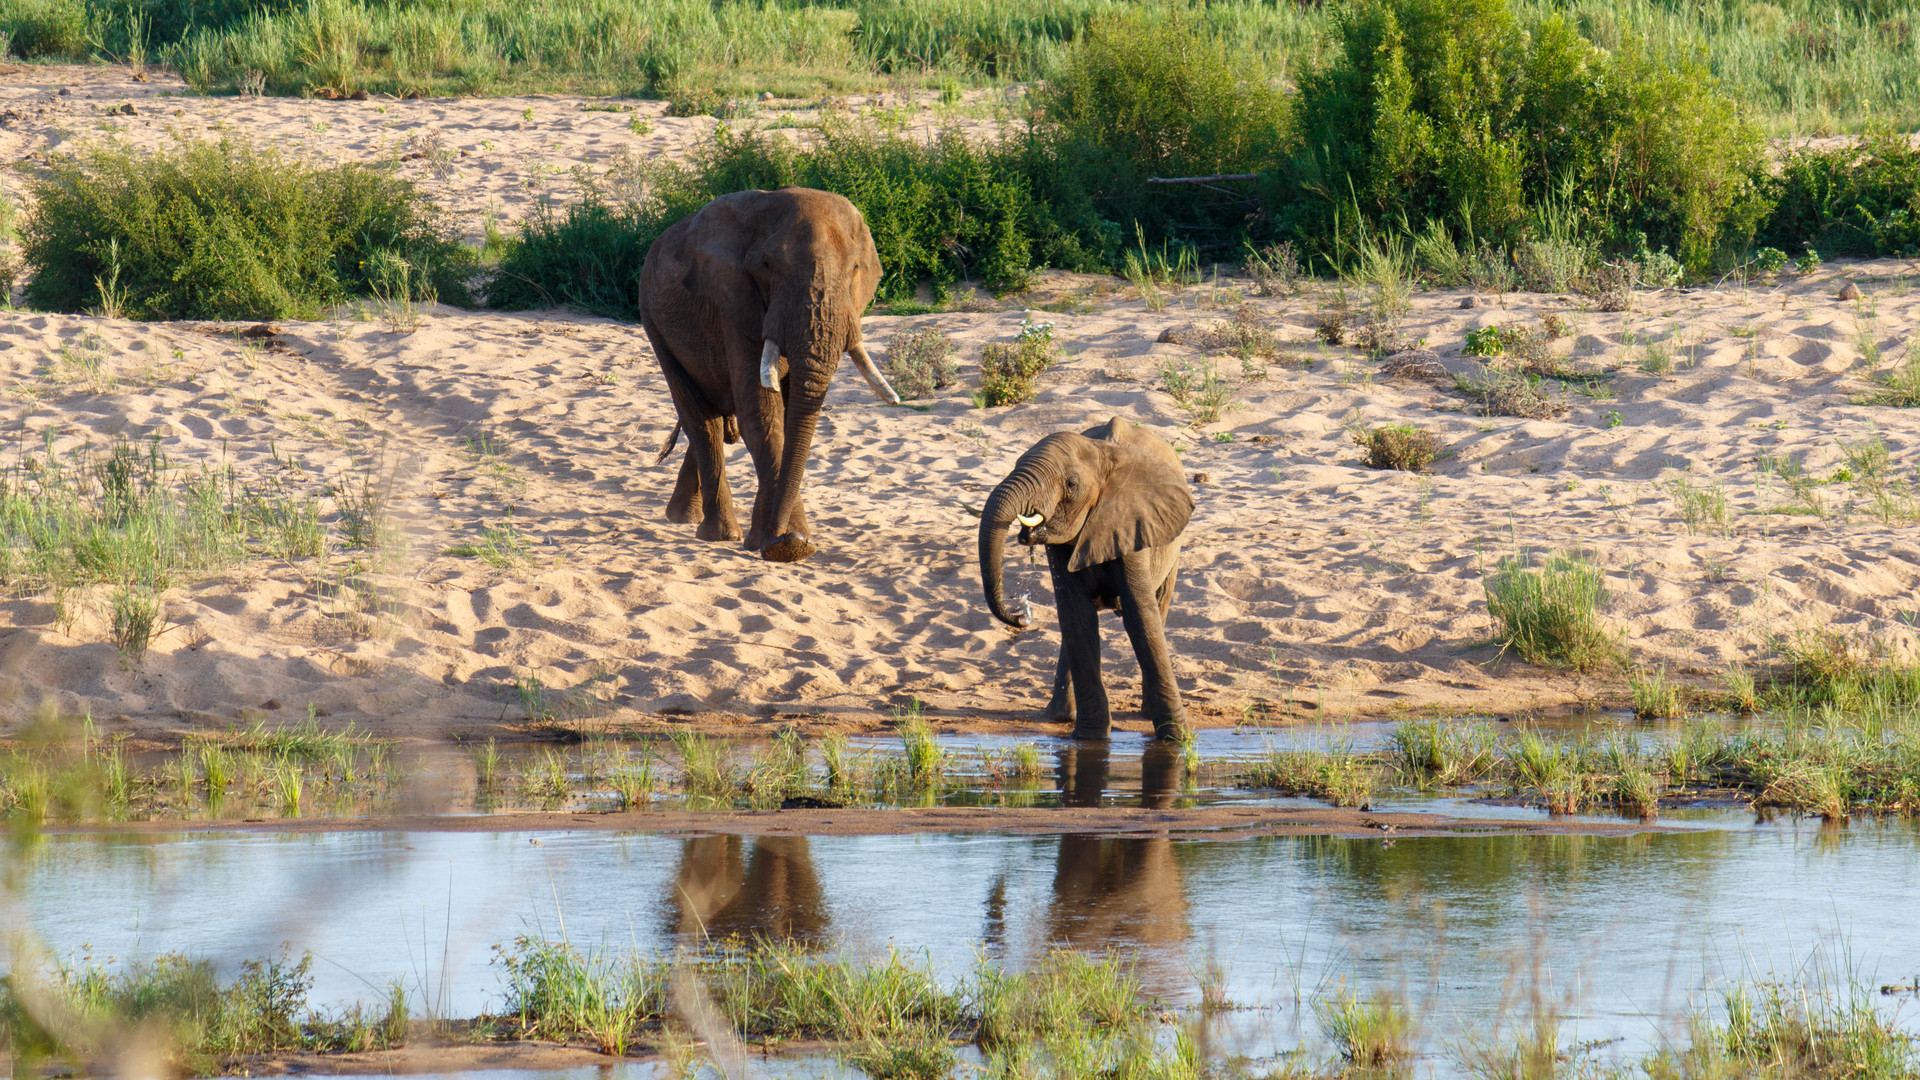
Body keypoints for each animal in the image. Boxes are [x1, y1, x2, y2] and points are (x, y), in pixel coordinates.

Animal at [633, 186, 894, 557]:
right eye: (767, 267)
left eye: (855, 269)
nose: (780, 535)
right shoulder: (734, 302)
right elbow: (762, 413)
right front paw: (790, 545)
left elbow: (787, 414)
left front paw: (776, 542)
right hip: (654, 321)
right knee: (701, 419)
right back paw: (719, 533)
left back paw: (684, 517)